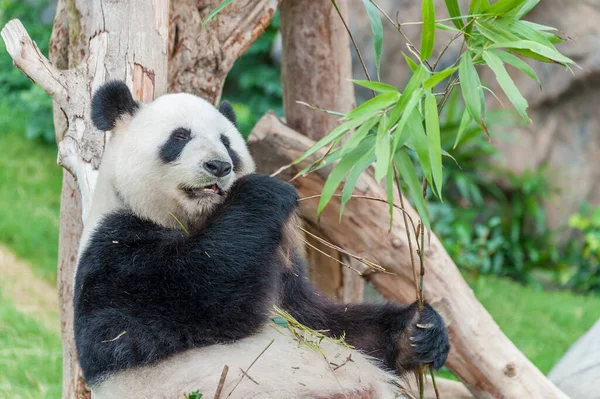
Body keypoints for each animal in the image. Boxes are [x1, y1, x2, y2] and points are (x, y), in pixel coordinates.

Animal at [74, 79, 450, 398]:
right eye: (179, 137)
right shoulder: (113, 253)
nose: (218, 166)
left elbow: (325, 322)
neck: (193, 220)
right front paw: (264, 192)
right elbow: (197, 300)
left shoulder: (281, 271)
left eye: (227, 142)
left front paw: (419, 331)